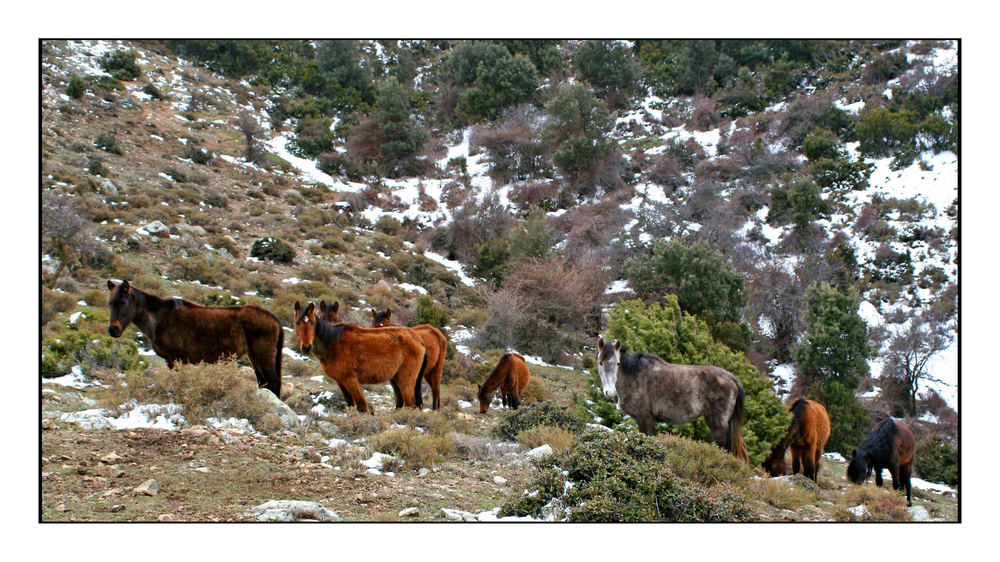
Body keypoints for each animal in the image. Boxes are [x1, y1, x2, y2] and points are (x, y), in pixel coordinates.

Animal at [105, 278, 284, 394]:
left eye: (123, 302)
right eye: (110, 303)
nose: (113, 330)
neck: (161, 318)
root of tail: (273, 317)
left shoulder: (176, 360)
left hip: (262, 356)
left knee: (273, 383)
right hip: (255, 358)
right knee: (264, 383)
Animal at [292, 300, 426, 414]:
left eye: (312, 323)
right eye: (297, 323)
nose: (306, 347)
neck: (334, 343)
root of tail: (418, 339)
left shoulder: (351, 379)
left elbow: (362, 406)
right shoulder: (341, 381)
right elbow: (350, 404)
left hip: (405, 380)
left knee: (410, 405)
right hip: (396, 379)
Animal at [592, 336, 752, 460]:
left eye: (617, 363)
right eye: (600, 362)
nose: (610, 392)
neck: (634, 376)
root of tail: (732, 379)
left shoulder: (646, 418)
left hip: (718, 424)